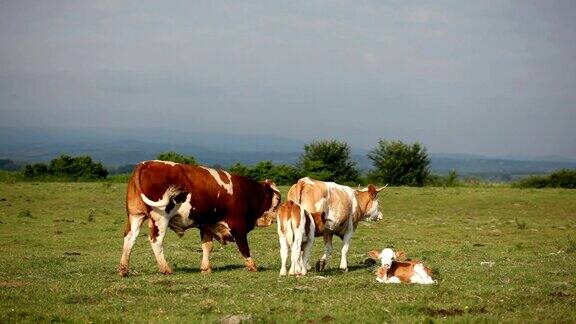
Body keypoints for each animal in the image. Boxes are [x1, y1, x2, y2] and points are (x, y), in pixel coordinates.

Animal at [118, 159, 280, 276]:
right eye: (278, 199)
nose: (276, 215)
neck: (246, 193)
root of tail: (146, 164)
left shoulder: (207, 224)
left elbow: (207, 246)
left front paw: (205, 268)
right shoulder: (237, 226)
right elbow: (244, 246)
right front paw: (252, 265)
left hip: (135, 216)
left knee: (129, 238)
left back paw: (123, 269)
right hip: (160, 219)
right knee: (155, 241)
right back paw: (166, 268)